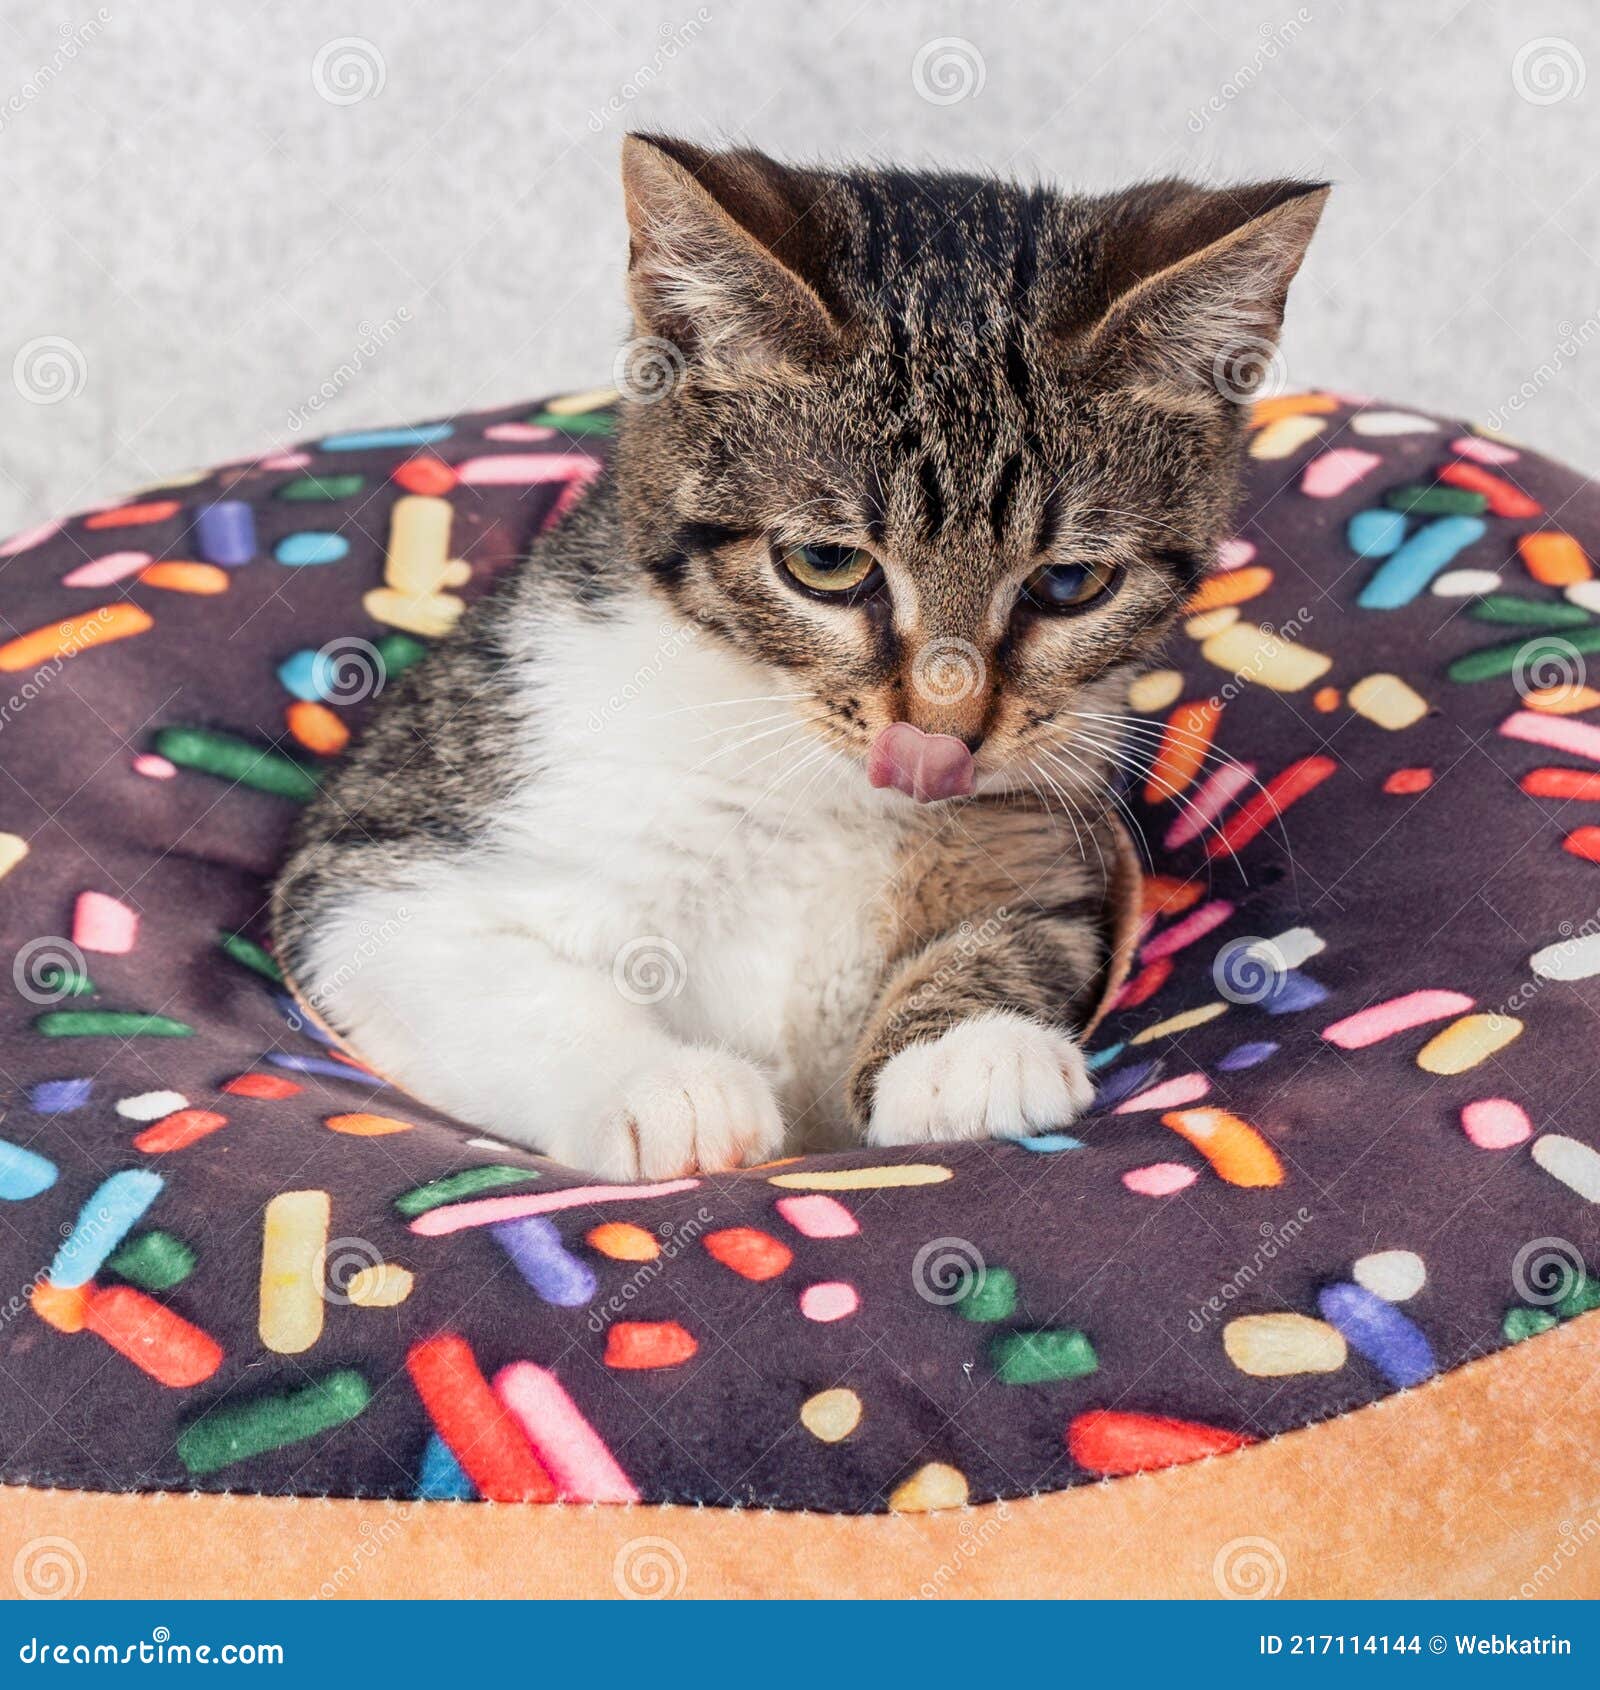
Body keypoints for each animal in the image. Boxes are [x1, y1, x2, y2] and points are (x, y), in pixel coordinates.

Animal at [272, 135, 1324, 1176]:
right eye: (826, 564)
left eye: (1069, 583)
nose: (941, 739)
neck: (812, 781)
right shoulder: (396, 846)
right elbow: (454, 959)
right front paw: (661, 1090)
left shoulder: (1050, 827)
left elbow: (1033, 931)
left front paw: (970, 1049)